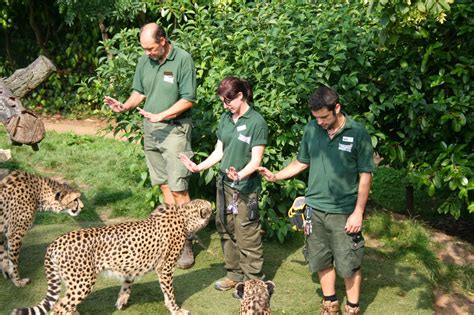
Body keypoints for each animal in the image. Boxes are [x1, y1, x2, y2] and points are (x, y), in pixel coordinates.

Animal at [12, 200, 212, 315]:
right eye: (209, 208)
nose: (214, 208)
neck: (184, 217)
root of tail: (55, 242)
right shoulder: (165, 268)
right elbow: (169, 293)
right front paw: (176, 309)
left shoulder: (130, 266)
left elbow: (126, 285)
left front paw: (121, 301)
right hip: (83, 282)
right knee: (58, 307)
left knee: (66, 304)